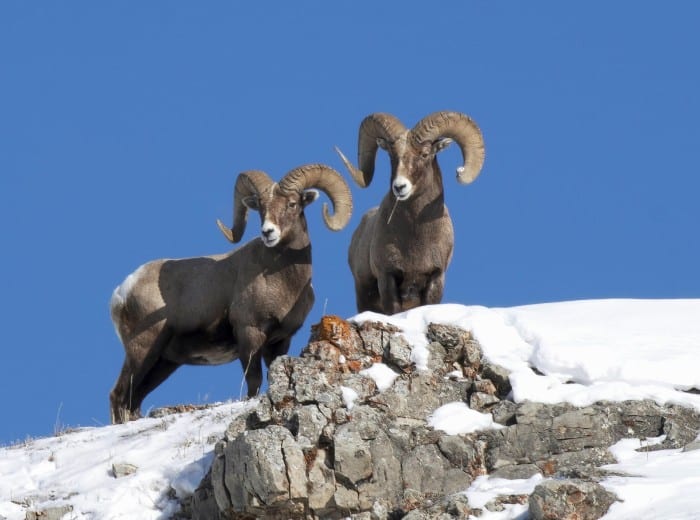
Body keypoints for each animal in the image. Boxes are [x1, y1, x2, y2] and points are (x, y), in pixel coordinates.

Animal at [109, 164, 352, 423]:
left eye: (292, 204)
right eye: (261, 208)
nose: (268, 232)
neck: (283, 281)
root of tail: (122, 292)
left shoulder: (280, 341)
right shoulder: (249, 333)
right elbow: (254, 382)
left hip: (163, 362)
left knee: (133, 400)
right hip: (142, 349)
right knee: (118, 396)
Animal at [336, 111, 485, 314]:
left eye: (425, 154)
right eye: (392, 156)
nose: (400, 187)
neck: (414, 238)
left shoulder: (435, 278)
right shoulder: (388, 277)